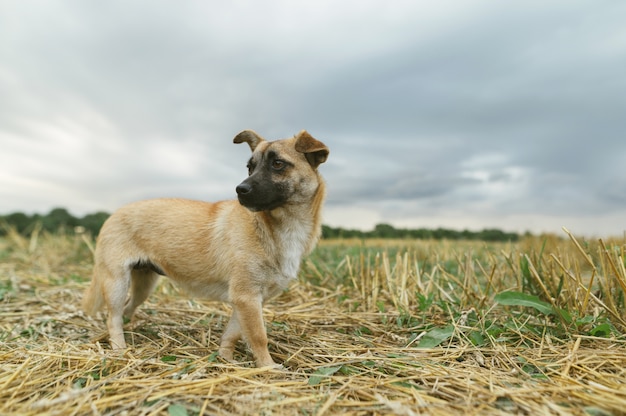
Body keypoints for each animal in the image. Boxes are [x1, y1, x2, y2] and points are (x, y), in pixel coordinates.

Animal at [80, 130, 330, 368]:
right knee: (113, 317)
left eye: (277, 164)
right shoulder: (246, 297)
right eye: (250, 167)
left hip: (144, 286)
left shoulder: (248, 301)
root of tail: (113, 215)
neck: (277, 228)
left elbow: (232, 334)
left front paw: (226, 360)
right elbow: (259, 337)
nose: (240, 189)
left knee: (126, 310)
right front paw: (267, 367)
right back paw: (119, 349)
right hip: (116, 283)